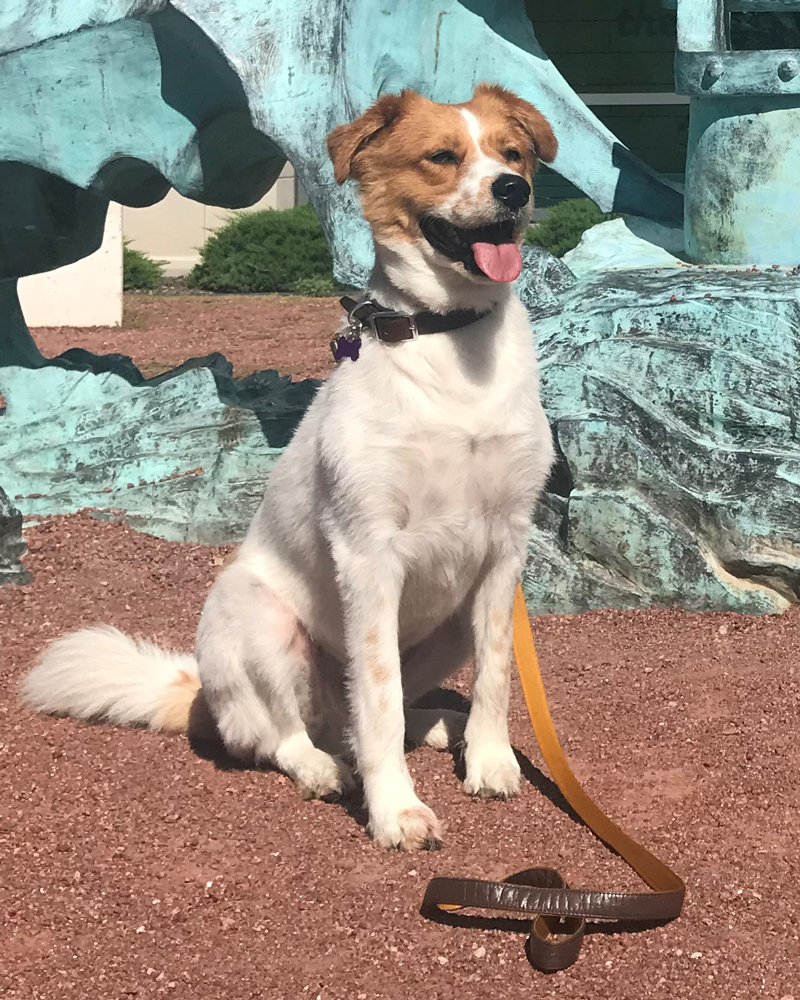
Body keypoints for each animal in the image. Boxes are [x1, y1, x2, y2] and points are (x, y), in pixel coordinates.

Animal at [20, 86, 556, 852]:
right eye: (442, 157)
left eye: (513, 154)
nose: (513, 190)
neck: (451, 341)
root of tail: (203, 694)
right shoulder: (369, 552)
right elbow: (380, 698)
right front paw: (396, 811)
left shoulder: (503, 550)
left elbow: (495, 674)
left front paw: (490, 759)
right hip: (260, 618)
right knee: (284, 736)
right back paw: (324, 768)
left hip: (450, 617)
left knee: (369, 716)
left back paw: (440, 730)